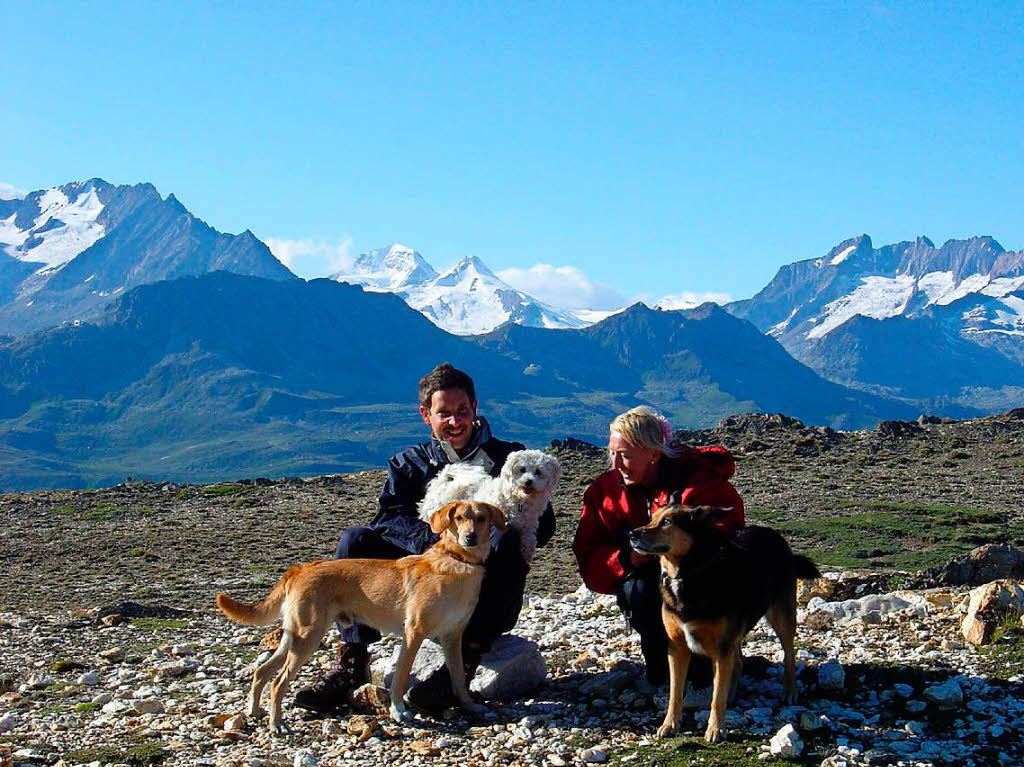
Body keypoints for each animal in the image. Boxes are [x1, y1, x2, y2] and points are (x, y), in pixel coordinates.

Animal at [218, 499, 505, 733]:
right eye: (459, 518)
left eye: (481, 518)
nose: (470, 537)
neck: (458, 562)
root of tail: (300, 568)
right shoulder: (413, 633)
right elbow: (400, 678)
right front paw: (398, 711)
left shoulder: (453, 637)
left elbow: (458, 678)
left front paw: (468, 705)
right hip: (307, 638)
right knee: (278, 682)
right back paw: (276, 724)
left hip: (293, 636)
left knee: (262, 671)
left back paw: (254, 711)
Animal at [417, 448, 565, 561]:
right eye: (522, 469)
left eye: (538, 472)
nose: (528, 481)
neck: (519, 501)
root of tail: (443, 478)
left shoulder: (528, 525)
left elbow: (530, 538)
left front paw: (527, 552)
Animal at [626, 497, 819, 741]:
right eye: (652, 517)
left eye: (667, 522)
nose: (631, 534)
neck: (688, 574)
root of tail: (774, 534)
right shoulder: (677, 646)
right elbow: (675, 691)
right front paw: (670, 724)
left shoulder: (722, 646)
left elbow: (716, 695)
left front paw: (716, 728)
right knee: (738, 662)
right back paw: (733, 692)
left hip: (782, 618)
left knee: (789, 655)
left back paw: (790, 690)